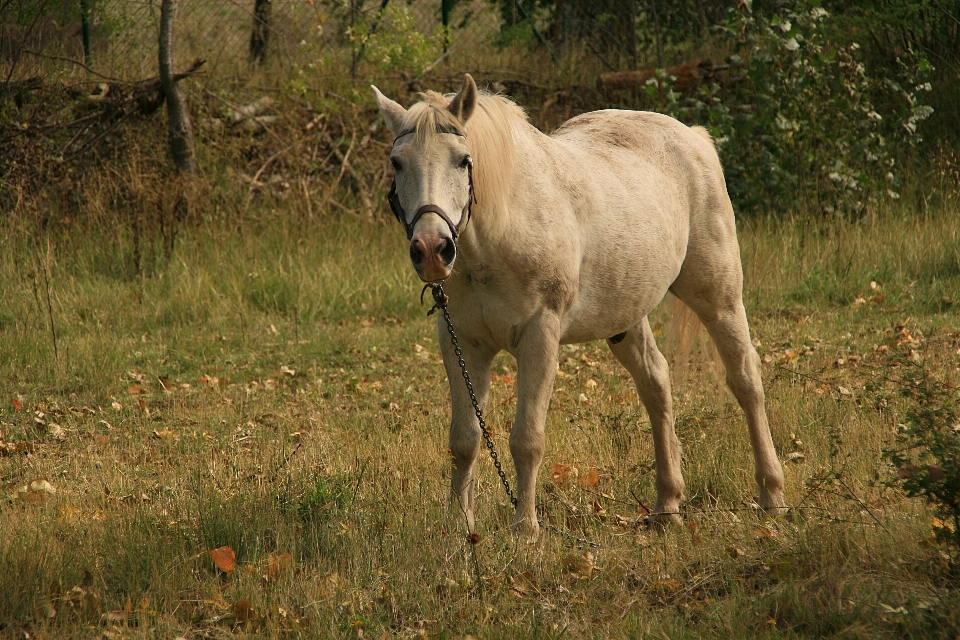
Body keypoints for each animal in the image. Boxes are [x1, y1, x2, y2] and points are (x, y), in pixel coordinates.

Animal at [372, 72, 784, 536]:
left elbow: (527, 440)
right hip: (626, 316)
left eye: (463, 160)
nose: (431, 249)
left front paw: (525, 531)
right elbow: (464, 442)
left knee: (746, 381)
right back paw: (667, 505)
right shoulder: (461, 342)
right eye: (398, 163)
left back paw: (771, 495)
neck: (501, 231)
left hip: (719, 297)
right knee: (656, 385)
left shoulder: (540, 338)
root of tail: (693, 138)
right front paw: (461, 532)